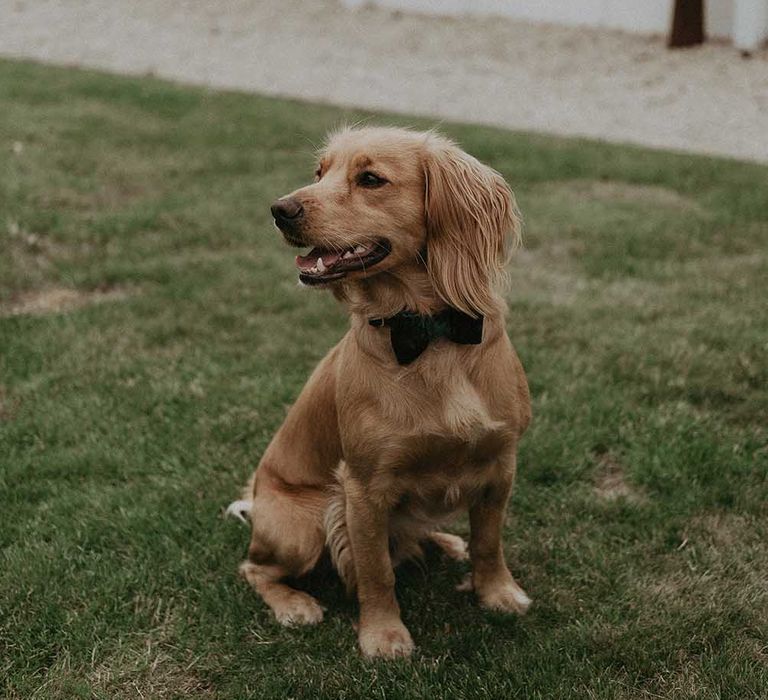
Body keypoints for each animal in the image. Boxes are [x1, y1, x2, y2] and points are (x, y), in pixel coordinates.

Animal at [226, 126, 528, 656]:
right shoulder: (363, 489)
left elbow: (490, 544)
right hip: (304, 523)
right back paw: (293, 604)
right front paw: (384, 636)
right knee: (255, 567)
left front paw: (498, 593)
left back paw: (445, 542)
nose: (280, 210)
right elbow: (375, 571)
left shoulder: (499, 464)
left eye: (370, 179)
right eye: (319, 173)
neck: (429, 333)